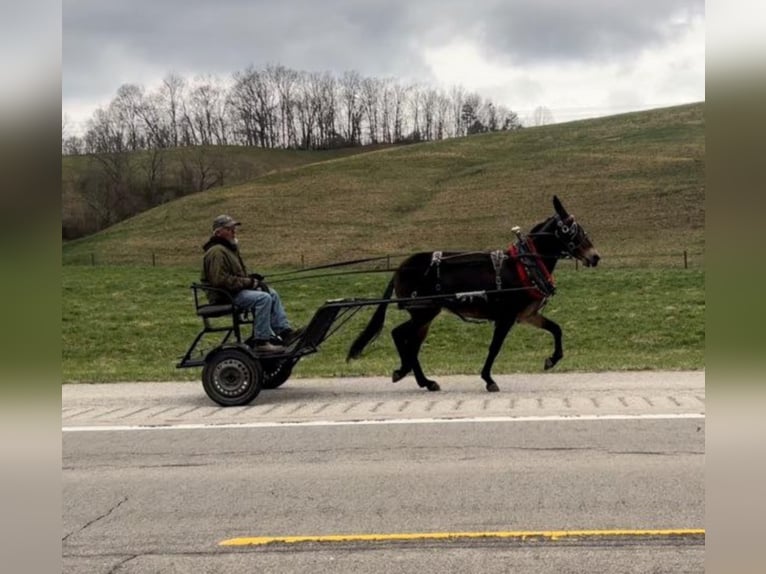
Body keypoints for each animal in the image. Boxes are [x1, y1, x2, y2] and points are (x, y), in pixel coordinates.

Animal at [344, 196, 604, 394]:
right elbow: (494, 348)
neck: (525, 265)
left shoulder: (527, 315)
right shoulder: (505, 318)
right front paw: (488, 379)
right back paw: (404, 370)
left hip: (426, 316)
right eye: (571, 231)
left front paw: (552, 359)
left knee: (412, 345)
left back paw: (425, 381)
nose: (595, 257)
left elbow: (556, 329)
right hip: (423, 311)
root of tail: (401, 268)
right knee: (399, 335)